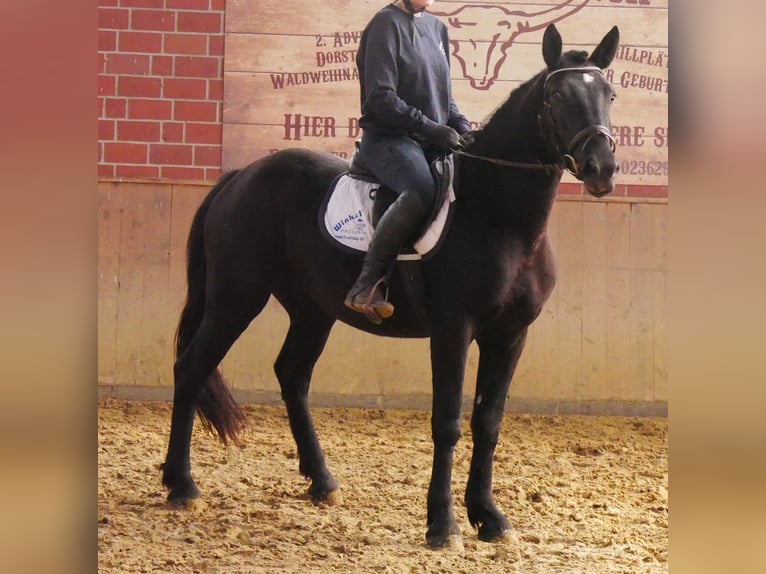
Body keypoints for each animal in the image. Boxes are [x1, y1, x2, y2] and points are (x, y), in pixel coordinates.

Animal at [161, 23, 620, 549]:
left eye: (609, 93)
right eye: (559, 95)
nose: (602, 168)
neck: (499, 215)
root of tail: (241, 177)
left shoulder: (510, 335)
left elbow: (488, 422)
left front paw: (489, 517)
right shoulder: (453, 329)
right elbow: (447, 422)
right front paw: (442, 523)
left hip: (312, 310)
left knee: (291, 375)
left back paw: (322, 482)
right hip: (236, 298)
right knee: (192, 367)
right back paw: (181, 485)